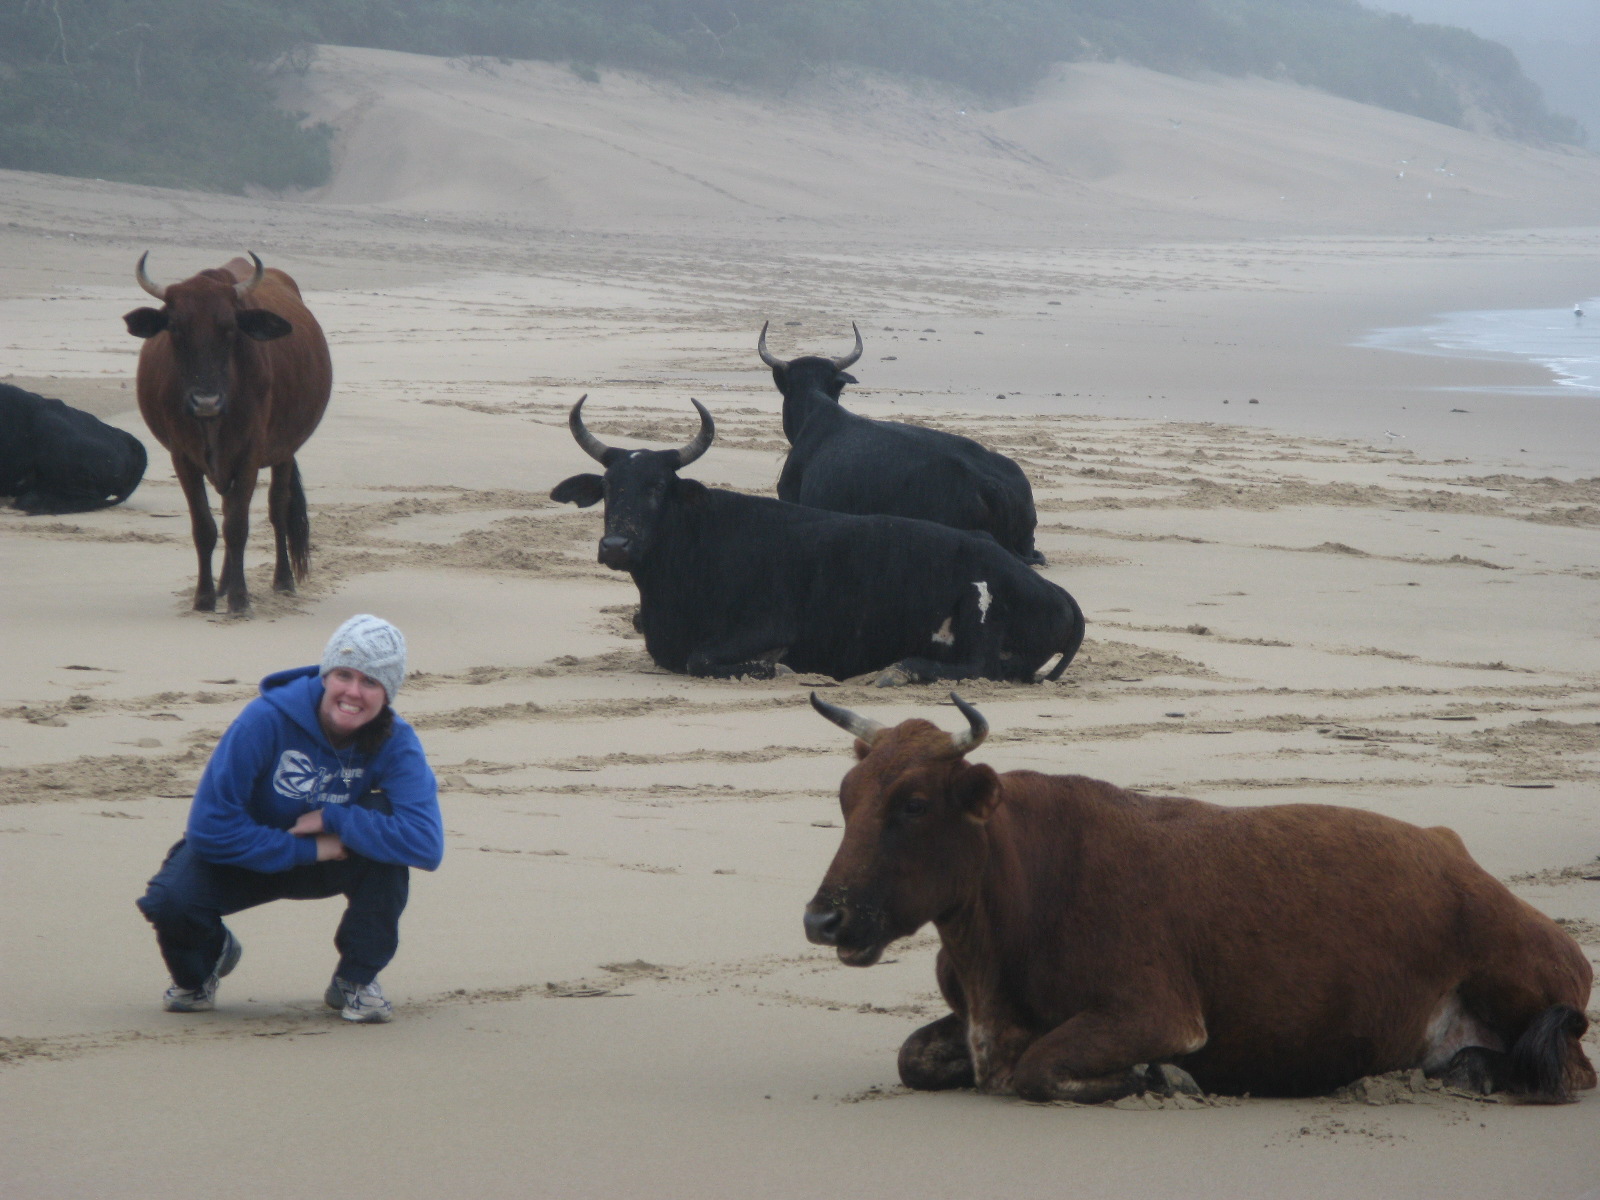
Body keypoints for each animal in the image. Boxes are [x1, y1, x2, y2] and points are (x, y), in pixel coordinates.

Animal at [124, 251, 331, 611]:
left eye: (230, 327)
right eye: (175, 327)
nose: (206, 401)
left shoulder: (250, 454)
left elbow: (237, 526)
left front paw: (240, 598)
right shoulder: (182, 457)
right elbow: (206, 527)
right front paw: (206, 596)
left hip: (285, 452)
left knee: (277, 509)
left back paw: (282, 580)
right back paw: (222, 584)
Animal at [550, 396, 1088, 684]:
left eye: (658, 486)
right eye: (609, 486)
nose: (616, 546)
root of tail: (1058, 594)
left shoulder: (771, 626)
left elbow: (702, 658)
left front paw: (775, 671)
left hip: (978, 606)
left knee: (975, 666)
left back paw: (900, 668)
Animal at [812, 694, 1600, 1107]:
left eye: (914, 804)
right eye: (847, 796)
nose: (823, 917)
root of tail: (1458, 855)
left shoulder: (1156, 1013)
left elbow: (1042, 1067)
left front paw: (1162, 1076)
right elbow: (915, 1056)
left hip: (1518, 973)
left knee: (1571, 1070)